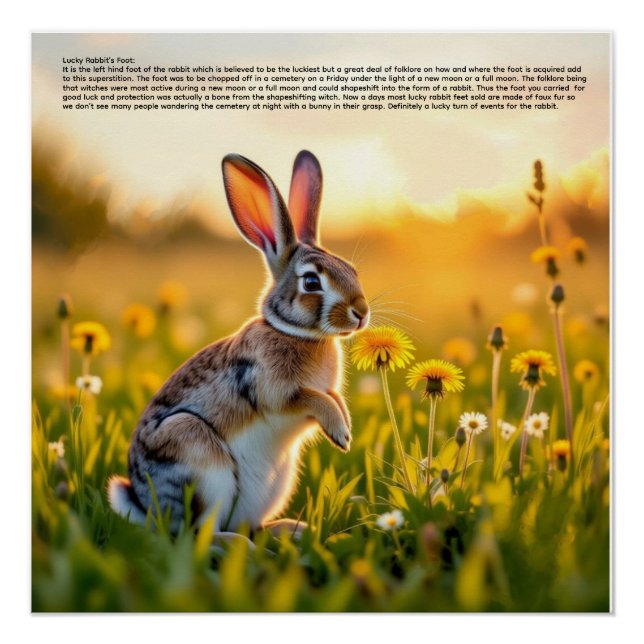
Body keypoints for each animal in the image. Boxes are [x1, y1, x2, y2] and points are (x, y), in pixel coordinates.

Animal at [108, 150, 370, 542]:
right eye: (311, 282)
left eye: (352, 270)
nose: (361, 313)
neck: (296, 332)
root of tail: (145, 505)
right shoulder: (275, 390)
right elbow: (311, 399)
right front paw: (340, 433)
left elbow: (333, 398)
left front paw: (345, 426)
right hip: (196, 456)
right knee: (198, 535)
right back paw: (240, 544)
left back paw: (290, 530)